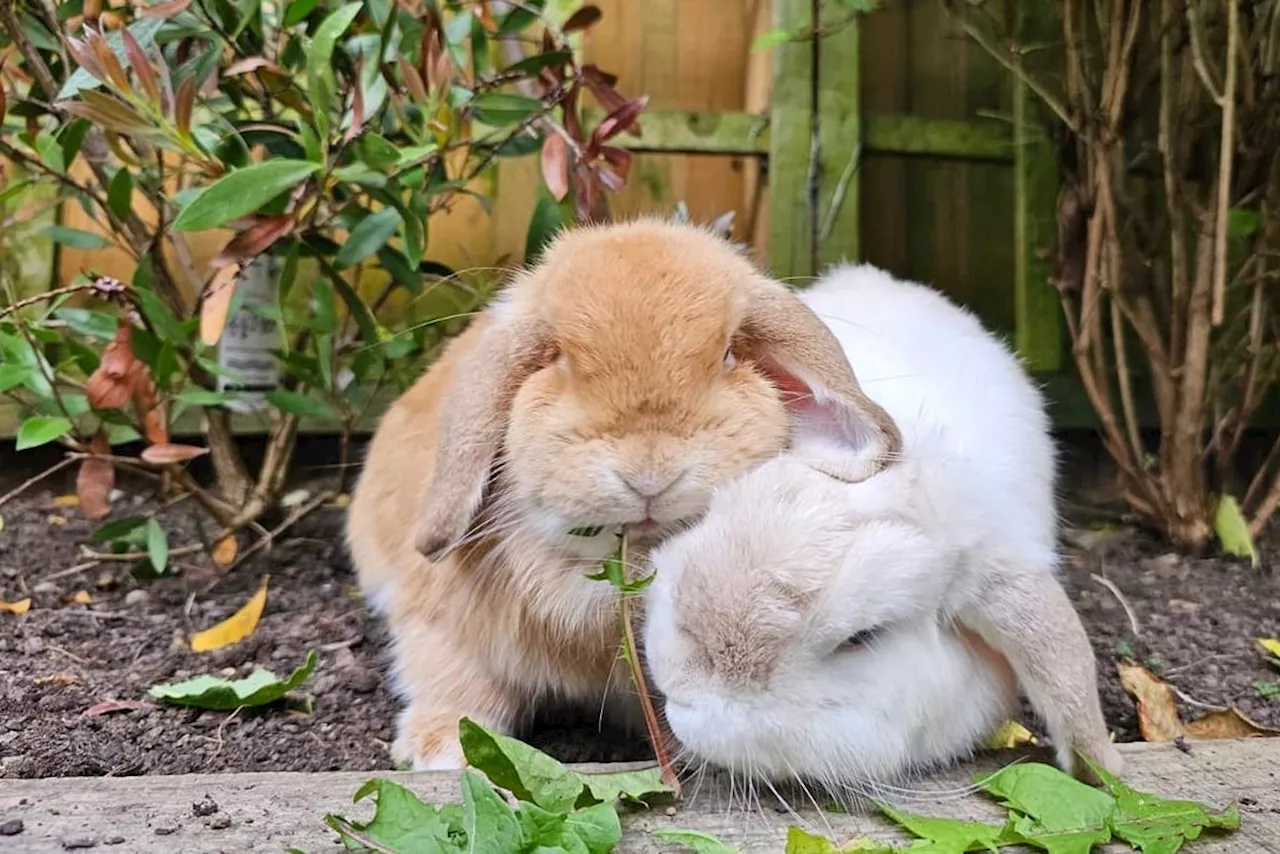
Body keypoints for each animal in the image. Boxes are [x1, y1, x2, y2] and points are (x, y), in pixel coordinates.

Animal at [340, 218, 901, 768]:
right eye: (560, 359)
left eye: (728, 355)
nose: (650, 475)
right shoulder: (439, 624)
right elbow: (452, 678)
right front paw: (438, 750)